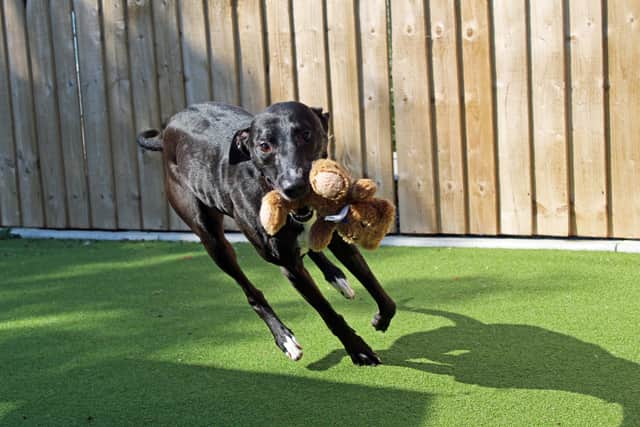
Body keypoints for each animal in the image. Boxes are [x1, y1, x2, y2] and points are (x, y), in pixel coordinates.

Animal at [138, 102, 392, 366]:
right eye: (264, 146)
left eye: (306, 134)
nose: (294, 187)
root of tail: (168, 129)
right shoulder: (290, 268)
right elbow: (328, 312)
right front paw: (358, 350)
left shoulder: (337, 239)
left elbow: (379, 290)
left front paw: (381, 319)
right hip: (213, 241)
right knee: (251, 292)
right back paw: (284, 337)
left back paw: (335, 275)